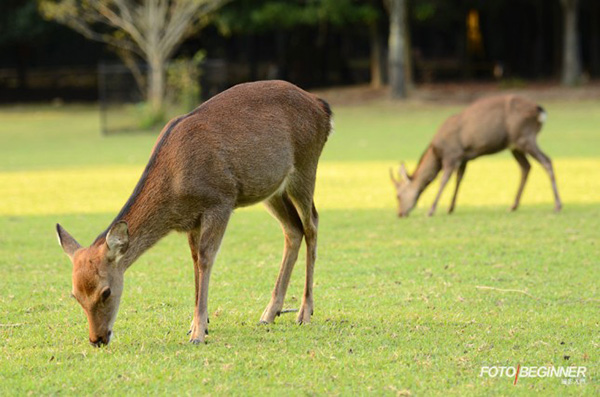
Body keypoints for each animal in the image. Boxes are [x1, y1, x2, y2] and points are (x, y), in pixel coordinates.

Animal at [55, 79, 332, 344]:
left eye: (106, 291)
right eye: (75, 295)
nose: (97, 339)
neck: (175, 191)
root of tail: (323, 108)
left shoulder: (220, 201)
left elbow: (206, 259)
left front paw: (198, 333)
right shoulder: (191, 220)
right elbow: (195, 260)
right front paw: (196, 325)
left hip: (305, 166)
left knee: (312, 224)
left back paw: (304, 312)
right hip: (271, 189)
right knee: (293, 229)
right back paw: (269, 313)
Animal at [390, 93, 564, 217]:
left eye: (398, 195)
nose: (400, 213)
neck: (436, 152)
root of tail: (540, 111)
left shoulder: (452, 155)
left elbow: (443, 181)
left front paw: (431, 210)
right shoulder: (463, 158)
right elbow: (459, 179)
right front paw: (450, 208)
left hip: (524, 137)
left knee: (547, 161)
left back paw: (557, 205)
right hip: (515, 145)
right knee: (526, 167)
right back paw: (513, 205)